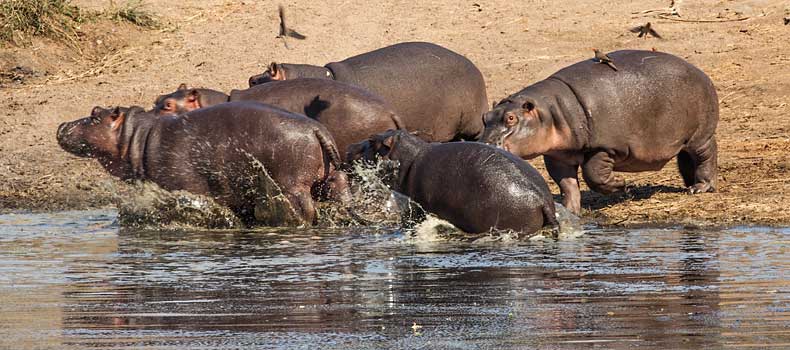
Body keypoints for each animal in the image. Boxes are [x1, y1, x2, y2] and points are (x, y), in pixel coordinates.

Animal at [55, 101, 352, 224]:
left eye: (95, 114)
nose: (60, 125)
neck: (137, 136)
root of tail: (317, 129)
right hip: (329, 178)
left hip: (293, 186)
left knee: (306, 211)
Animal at [350, 129, 560, 235]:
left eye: (371, 140)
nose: (350, 146)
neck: (410, 158)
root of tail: (542, 199)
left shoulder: (420, 205)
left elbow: (412, 219)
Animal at [480, 49, 720, 213]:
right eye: (485, 117)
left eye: (511, 118)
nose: (484, 145)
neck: (551, 111)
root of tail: (700, 72)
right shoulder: (558, 155)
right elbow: (567, 184)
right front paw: (571, 211)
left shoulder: (604, 147)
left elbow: (593, 175)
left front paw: (623, 186)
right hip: (683, 139)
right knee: (686, 158)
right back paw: (689, 184)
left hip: (700, 137)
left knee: (706, 155)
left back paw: (699, 187)